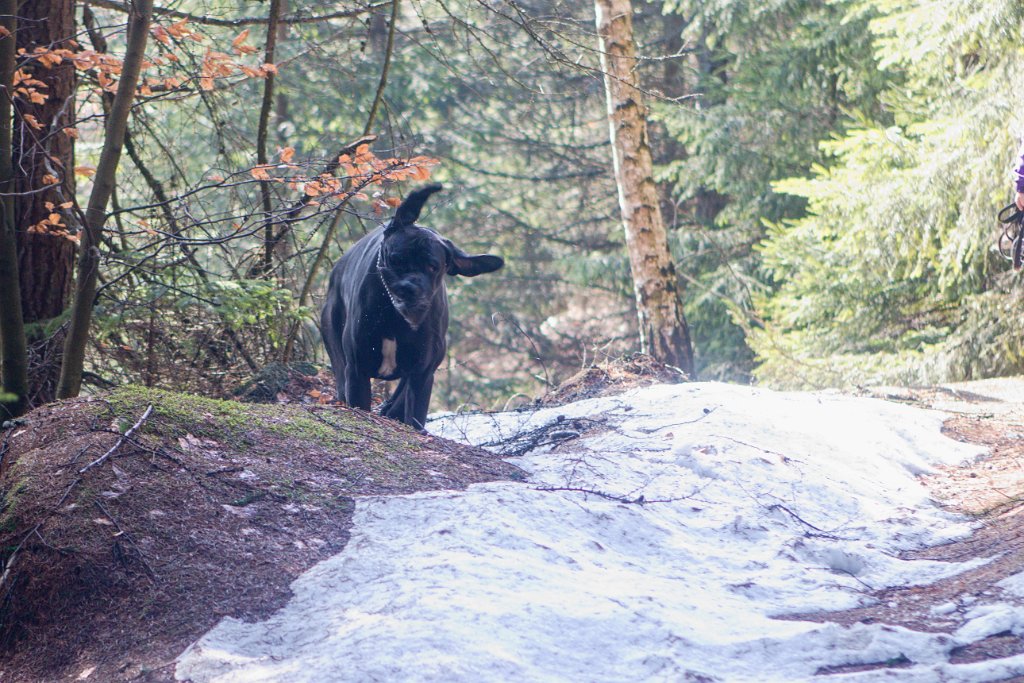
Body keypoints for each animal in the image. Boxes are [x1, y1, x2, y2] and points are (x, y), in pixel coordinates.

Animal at [319, 184, 503, 430]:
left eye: (433, 267)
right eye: (396, 260)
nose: (409, 287)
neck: (395, 317)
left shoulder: (422, 373)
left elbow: (414, 411)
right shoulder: (357, 369)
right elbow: (360, 405)